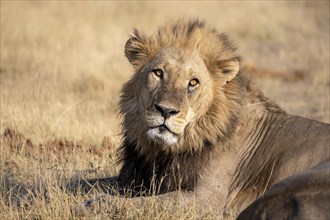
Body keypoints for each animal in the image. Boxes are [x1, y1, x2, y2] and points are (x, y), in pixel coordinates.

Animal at [75, 18, 330, 217]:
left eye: (193, 83)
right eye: (158, 73)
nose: (166, 111)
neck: (166, 151)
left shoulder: (207, 199)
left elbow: (152, 201)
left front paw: (95, 204)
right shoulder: (133, 177)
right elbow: (82, 182)